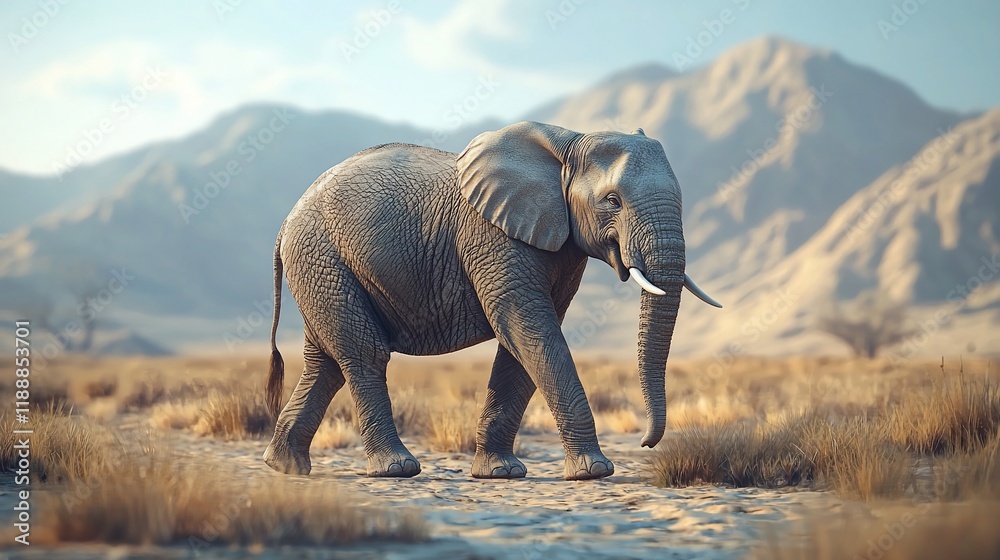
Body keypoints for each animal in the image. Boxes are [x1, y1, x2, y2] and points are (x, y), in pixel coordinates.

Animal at [262, 121, 720, 481]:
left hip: (320, 267)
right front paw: (594, 472)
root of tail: (284, 224)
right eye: (613, 201)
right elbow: (528, 327)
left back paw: (284, 467)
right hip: (322, 257)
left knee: (325, 362)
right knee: (363, 353)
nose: (644, 442)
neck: (569, 142)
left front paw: (501, 473)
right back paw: (396, 469)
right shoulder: (495, 236)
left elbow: (521, 344)